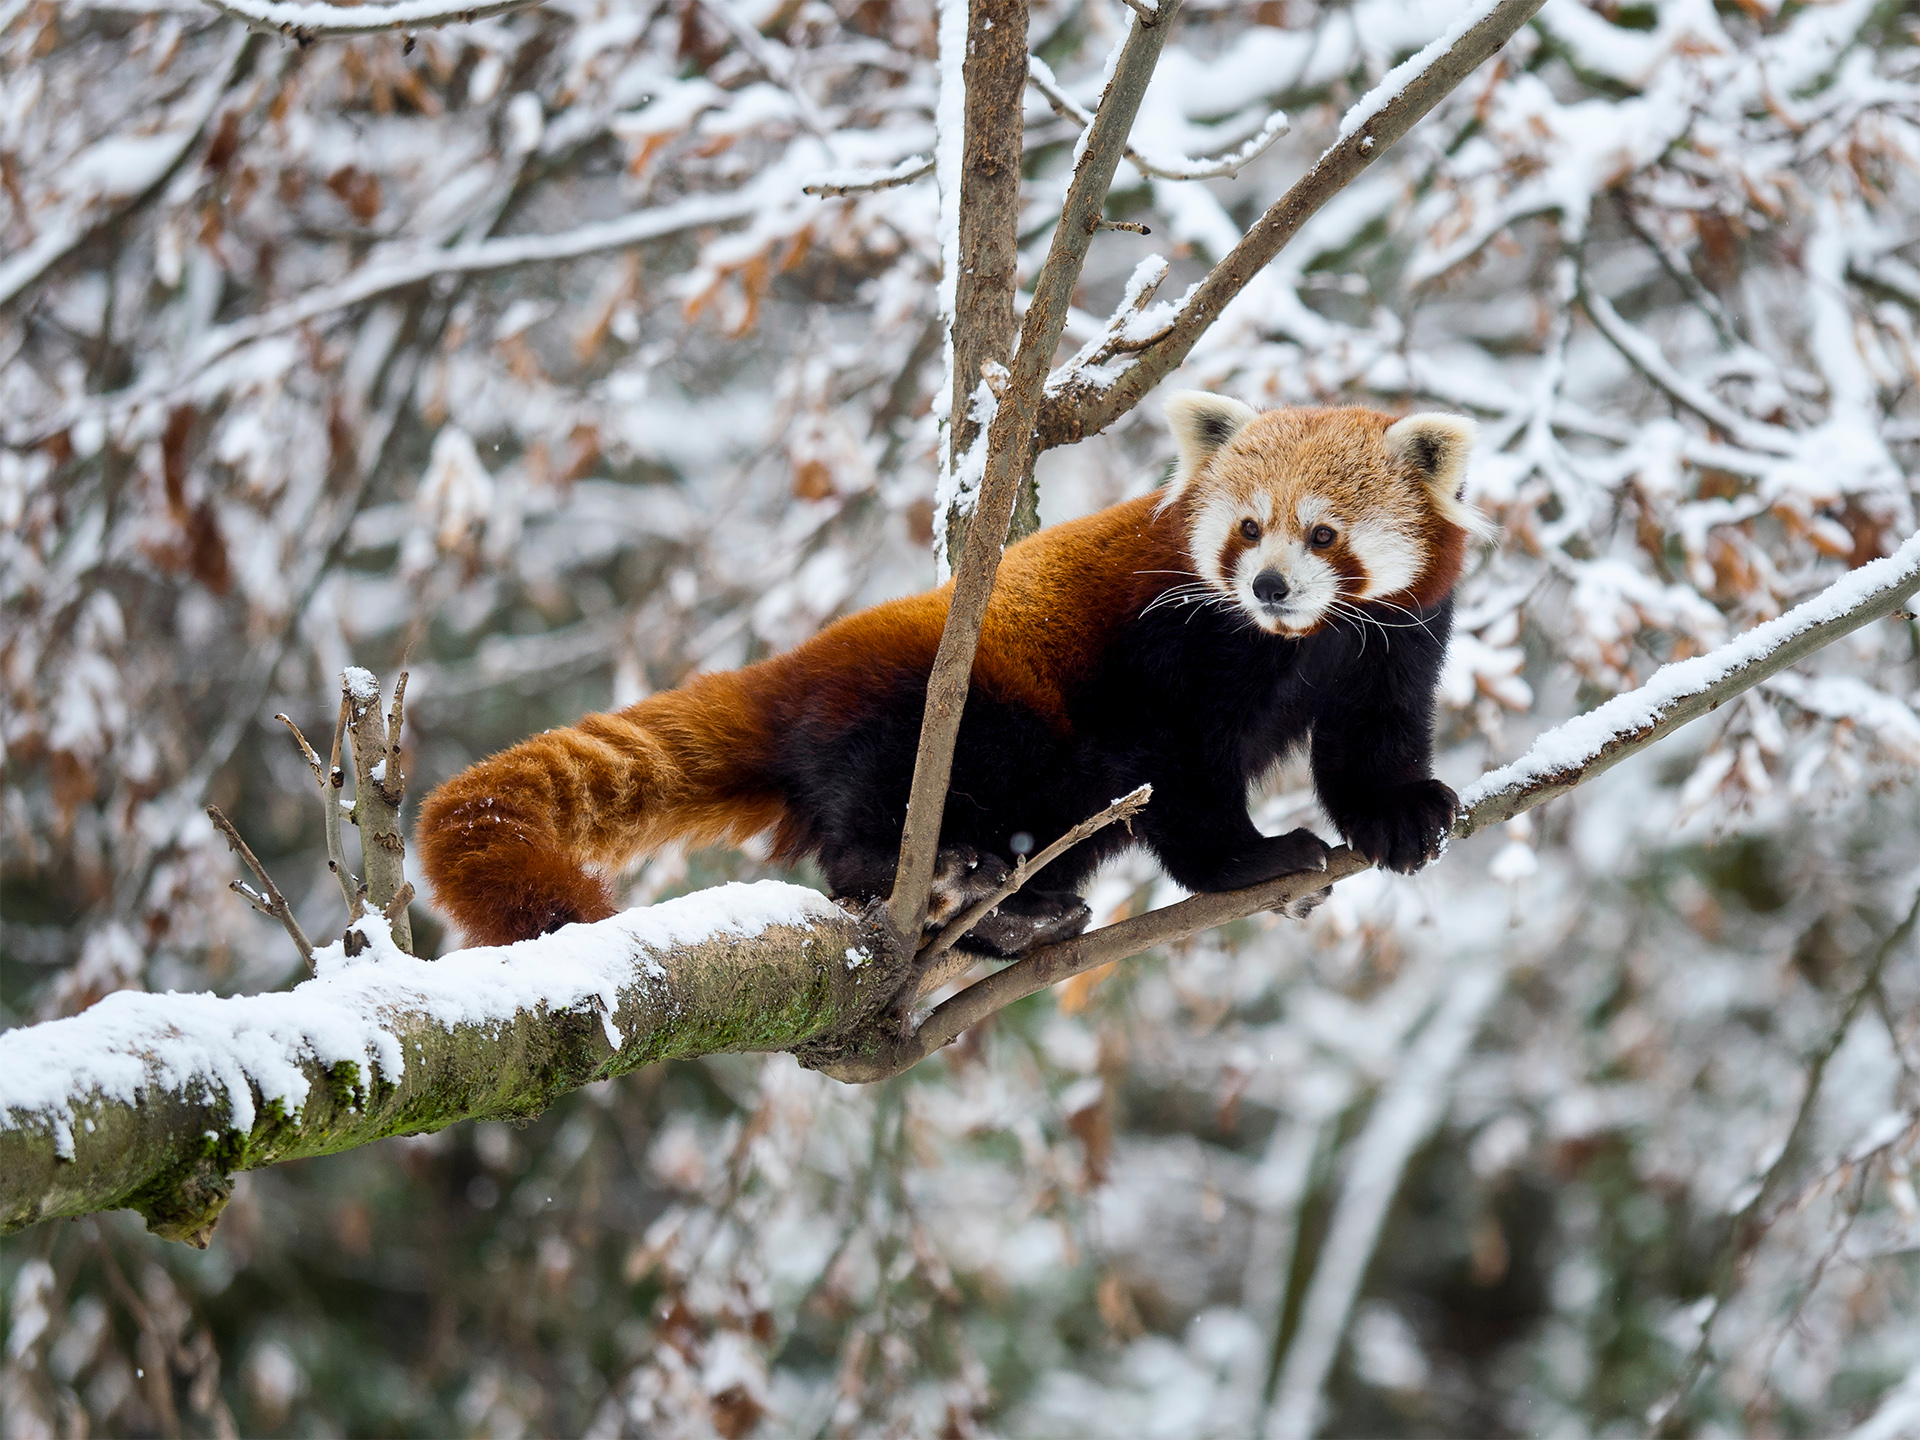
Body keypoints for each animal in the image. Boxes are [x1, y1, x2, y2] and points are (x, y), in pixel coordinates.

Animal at [420, 395, 1482, 960]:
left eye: (1322, 535)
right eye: (1249, 528)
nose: (1267, 583)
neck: (1294, 640)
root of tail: (794, 670)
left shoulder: (1397, 635)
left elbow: (1370, 738)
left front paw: (1396, 815)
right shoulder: (1165, 648)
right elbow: (1178, 776)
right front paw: (1255, 859)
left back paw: (1017, 915)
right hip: (949, 711)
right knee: (886, 808)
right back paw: (927, 874)